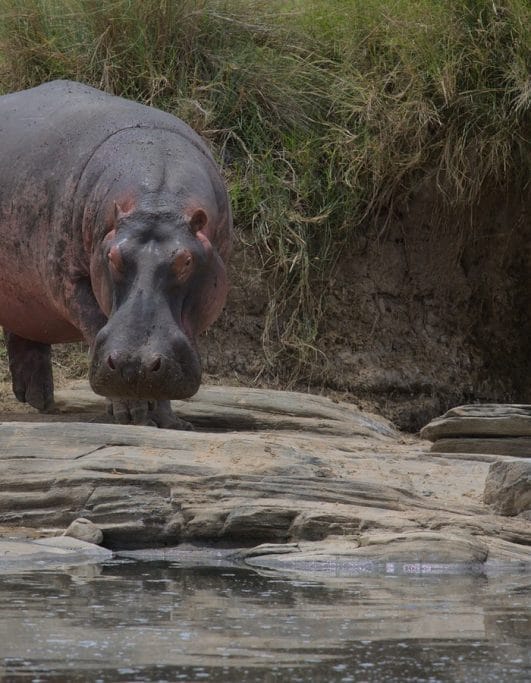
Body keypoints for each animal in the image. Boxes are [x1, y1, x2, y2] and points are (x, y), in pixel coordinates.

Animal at [0, 80, 232, 428]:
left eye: (186, 261)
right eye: (113, 257)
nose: (133, 365)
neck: (157, 202)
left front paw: (169, 421)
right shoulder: (69, 279)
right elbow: (95, 322)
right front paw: (133, 413)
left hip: (25, 300)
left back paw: (39, 399)